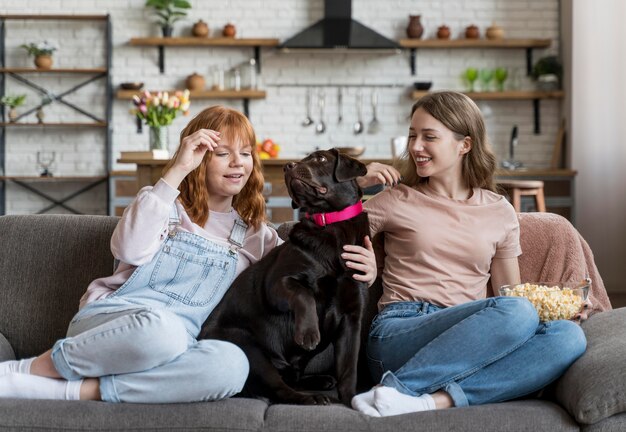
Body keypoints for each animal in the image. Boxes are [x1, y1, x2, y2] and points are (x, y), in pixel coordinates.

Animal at [200, 148, 368, 404]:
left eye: (321, 158)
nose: (287, 166)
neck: (329, 223)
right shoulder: (276, 284)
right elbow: (304, 294)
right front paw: (308, 332)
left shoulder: (351, 317)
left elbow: (348, 370)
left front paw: (352, 402)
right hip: (250, 349)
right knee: (280, 389)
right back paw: (311, 397)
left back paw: (320, 380)